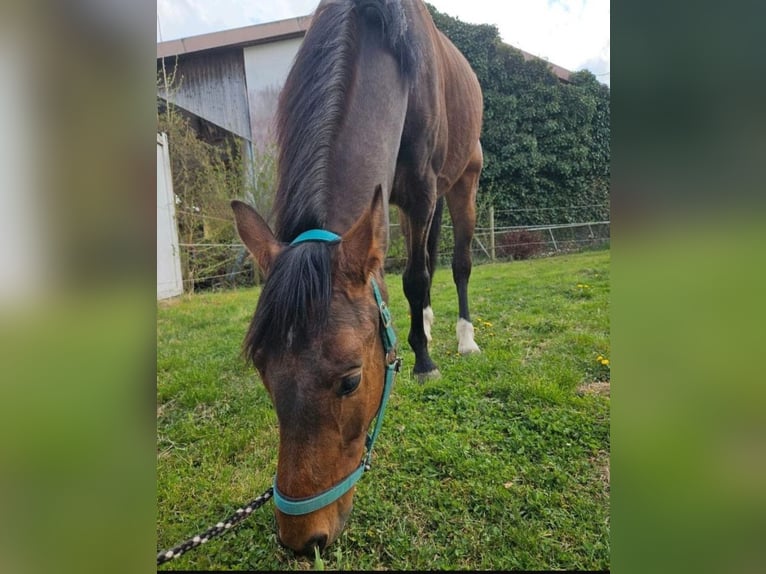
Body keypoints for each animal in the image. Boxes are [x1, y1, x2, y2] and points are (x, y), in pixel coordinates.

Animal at [231, 0, 483, 555]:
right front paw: (418, 338)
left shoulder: (423, 189)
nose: (302, 539)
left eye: (350, 380)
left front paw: (425, 362)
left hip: (463, 181)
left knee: (454, 264)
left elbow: (415, 277)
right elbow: (414, 276)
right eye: (263, 371)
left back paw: (462, 338)